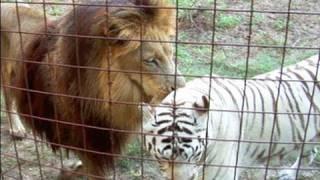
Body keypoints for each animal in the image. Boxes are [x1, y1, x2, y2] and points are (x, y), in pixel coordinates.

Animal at [0, 0, 185, 179]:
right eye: (150, 61)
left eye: (171, 54)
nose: (182, 88)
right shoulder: (85, 136)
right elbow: (93, 169)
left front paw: (72, 168)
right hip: (7, 73)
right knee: (8, 101)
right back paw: (16, 128)